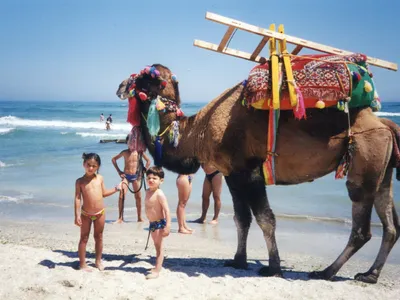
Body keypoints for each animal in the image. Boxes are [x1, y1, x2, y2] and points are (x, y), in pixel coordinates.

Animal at [115, 63, 400, 284]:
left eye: (145, 77)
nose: (120, 85)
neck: (196, 132)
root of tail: (385, 124)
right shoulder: (232, 174)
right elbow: (242, 219)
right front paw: (238, 260)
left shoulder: (249, 171)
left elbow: (265, 218)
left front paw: (273, 267)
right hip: (382, 169)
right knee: (390, 224)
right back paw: (369, 274)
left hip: (364, 160)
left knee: (362, 227)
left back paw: (326, 272)